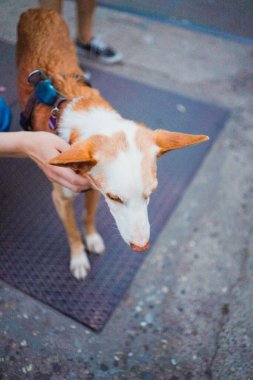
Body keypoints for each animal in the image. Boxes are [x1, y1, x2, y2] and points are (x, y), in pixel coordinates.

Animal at [16, 8, 209, 280]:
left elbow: (88, 217)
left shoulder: (92, 189)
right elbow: (72, 232)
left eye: (151, 194)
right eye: (114, 197)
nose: (141, 247)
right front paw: (79, 258)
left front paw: (92, 238)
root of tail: (39, 11)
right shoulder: (62, 198)